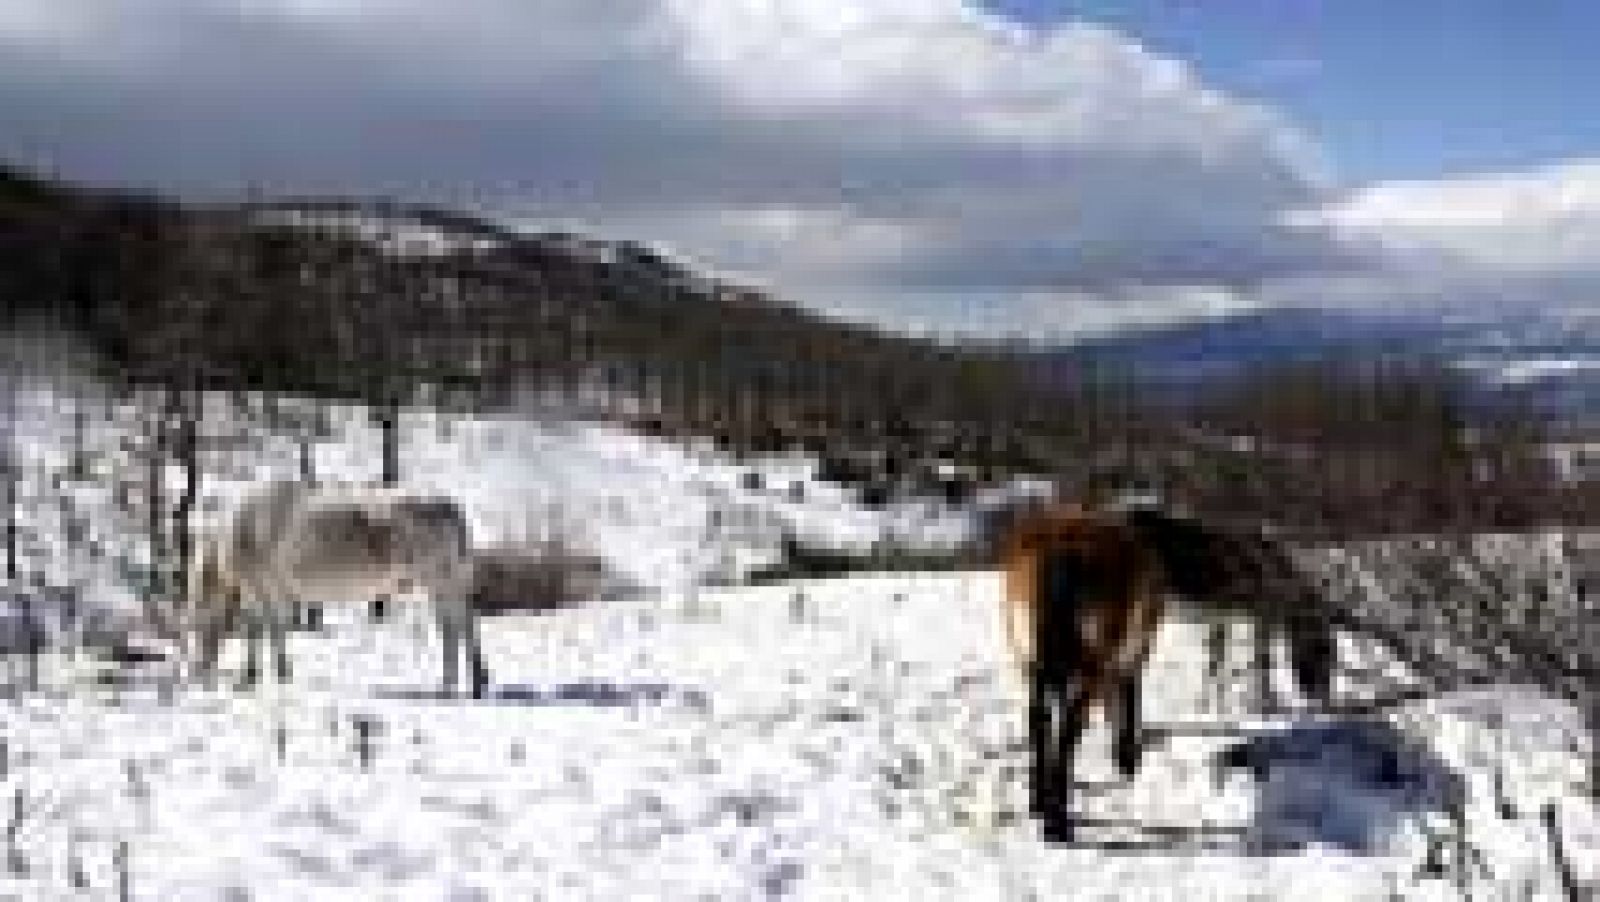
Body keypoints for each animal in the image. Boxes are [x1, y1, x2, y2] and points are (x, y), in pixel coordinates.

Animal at [185, 479, 486, 697]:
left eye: (198, 623)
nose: (198, 673)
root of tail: (448, 506)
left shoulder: (261, 588)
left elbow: (260, 629)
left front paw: (256, 675)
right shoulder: (273, 591)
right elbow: (271, 628)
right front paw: (275, 672)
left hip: (439, 579)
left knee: (457, 625)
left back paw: (455, 682)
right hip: (444, 582)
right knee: (458, 624)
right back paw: (468, 681)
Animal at [985, 495, 1337, 844]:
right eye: (1325, 650)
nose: (1322, 696)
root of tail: (1063, 550)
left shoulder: (1221, 618)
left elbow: (1218, 661)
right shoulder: (1228, 618)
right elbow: (1245, 662)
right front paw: (1254, 704)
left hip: (1033, 656)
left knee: (1039, 721)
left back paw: (1039, 805)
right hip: (1093, 654)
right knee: (1071, 726)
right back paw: (1058, 823)